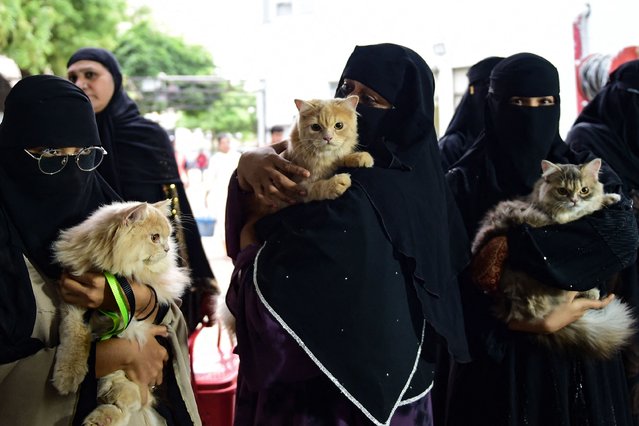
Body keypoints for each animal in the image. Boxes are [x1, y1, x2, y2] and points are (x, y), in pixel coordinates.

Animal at [51, 201, 191, 426]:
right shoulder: (71, 304)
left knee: (128, 401)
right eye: (155, 237)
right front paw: (67, 376)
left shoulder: (133, 318)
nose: (167, 248)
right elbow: (75, 336)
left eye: (168, 236)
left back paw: (102, 415)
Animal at [472, 158, 636, 358]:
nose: (574, 200)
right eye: (562, 191)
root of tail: (507, 304)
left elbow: (594, 202)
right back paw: (592, 293)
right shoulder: (561, 220)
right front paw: (603, 201)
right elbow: (587, 211)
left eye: (584, 190)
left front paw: (611, 197)